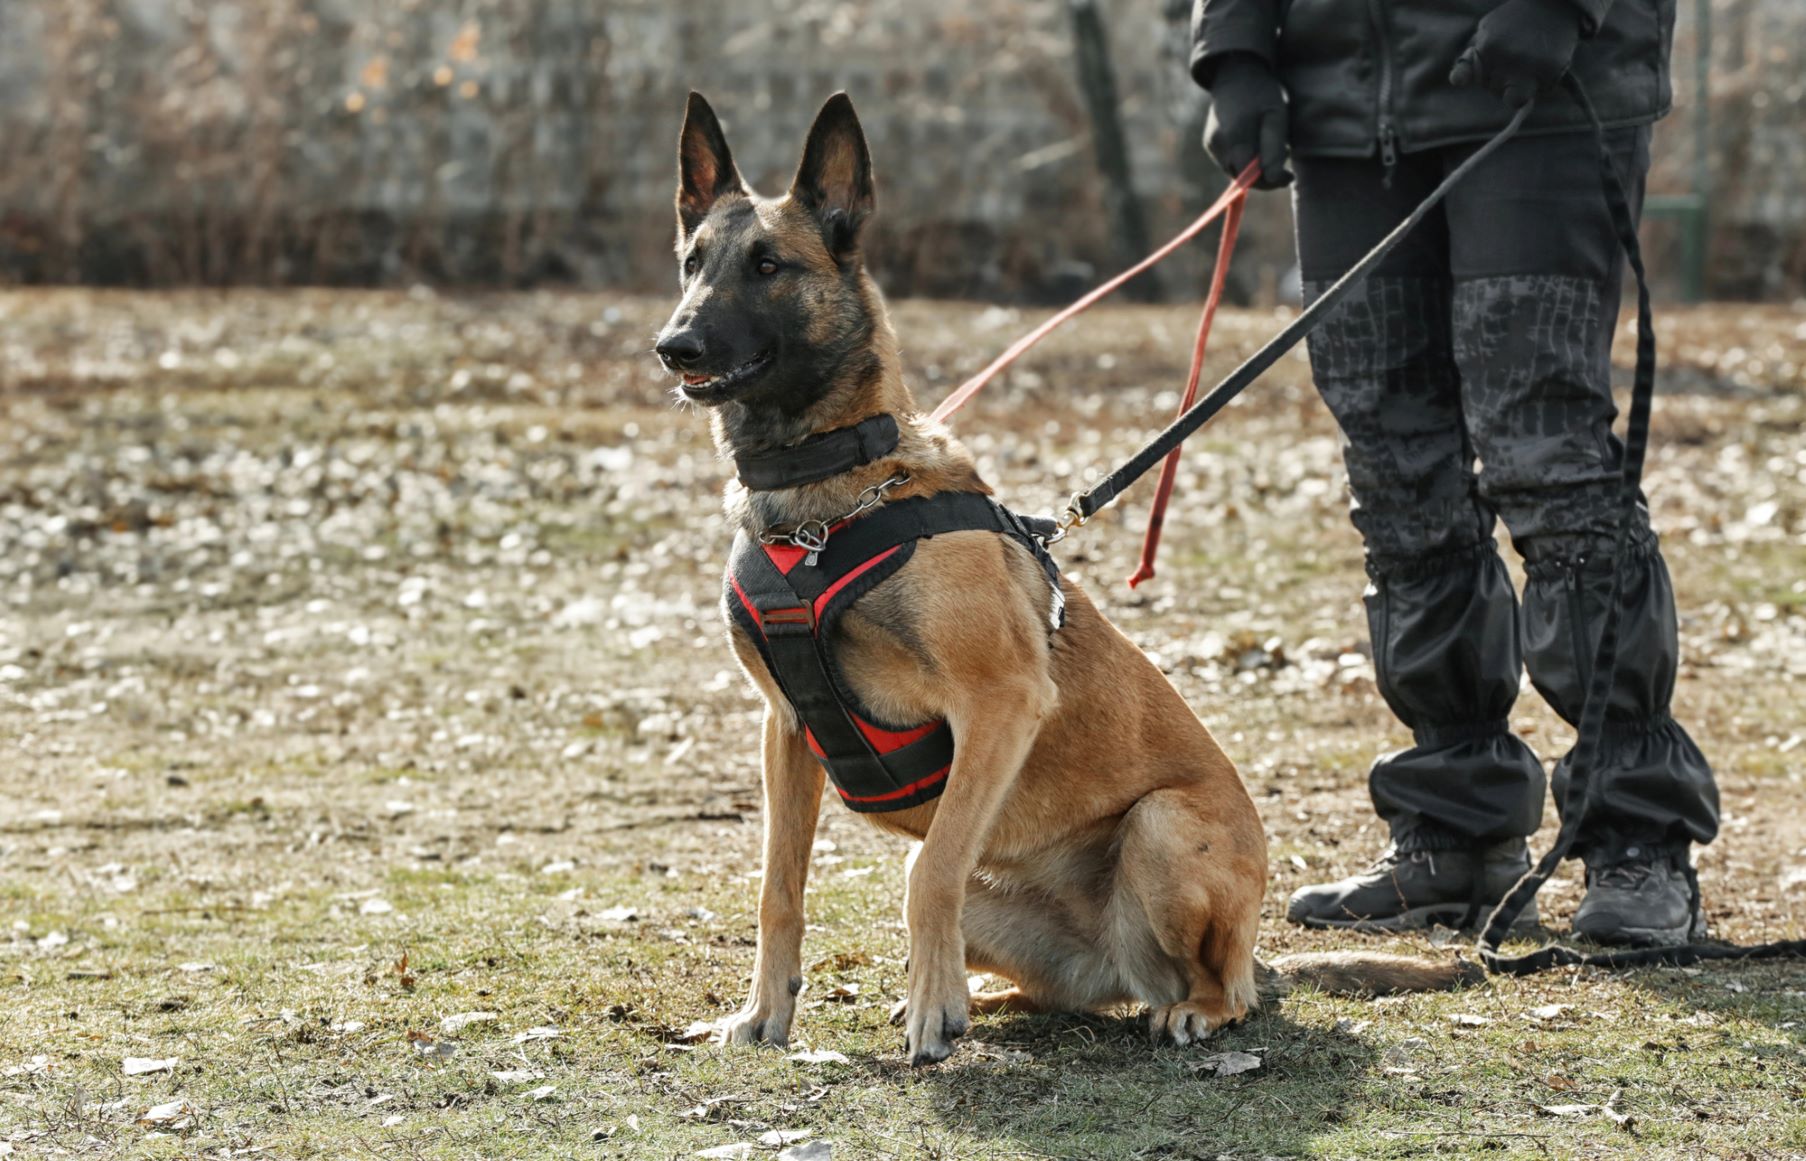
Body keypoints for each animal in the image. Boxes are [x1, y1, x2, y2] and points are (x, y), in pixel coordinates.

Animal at [657, 92, 1473, 1068]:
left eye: (769, 265)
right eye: (692, 263)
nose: (674, 345)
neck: (825, 502)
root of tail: (1126, 961)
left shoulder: (1001, 703)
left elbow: (933, 871)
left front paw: (932, 1014)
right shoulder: (785, 726)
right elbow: (778, 886)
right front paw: (765, 1013)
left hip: (1160, 828)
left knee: (1218, 987)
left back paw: (1184, 1009)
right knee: (1061, 988)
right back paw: (994, 996)